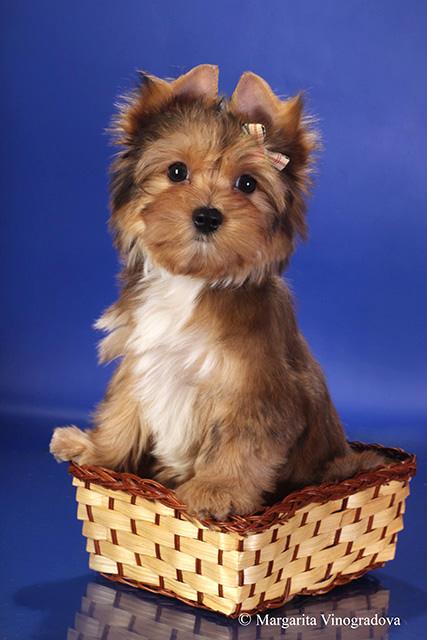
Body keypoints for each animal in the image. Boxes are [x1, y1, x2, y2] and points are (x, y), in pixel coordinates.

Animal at [50, 64, 385, 520]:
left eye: (247, 183)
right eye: (176, 172)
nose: (207, 215)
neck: (194, 279)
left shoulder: (256, 387)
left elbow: (242, 441)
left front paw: (217, 491)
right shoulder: (141, 358)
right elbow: (123, 410)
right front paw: (96, 451)